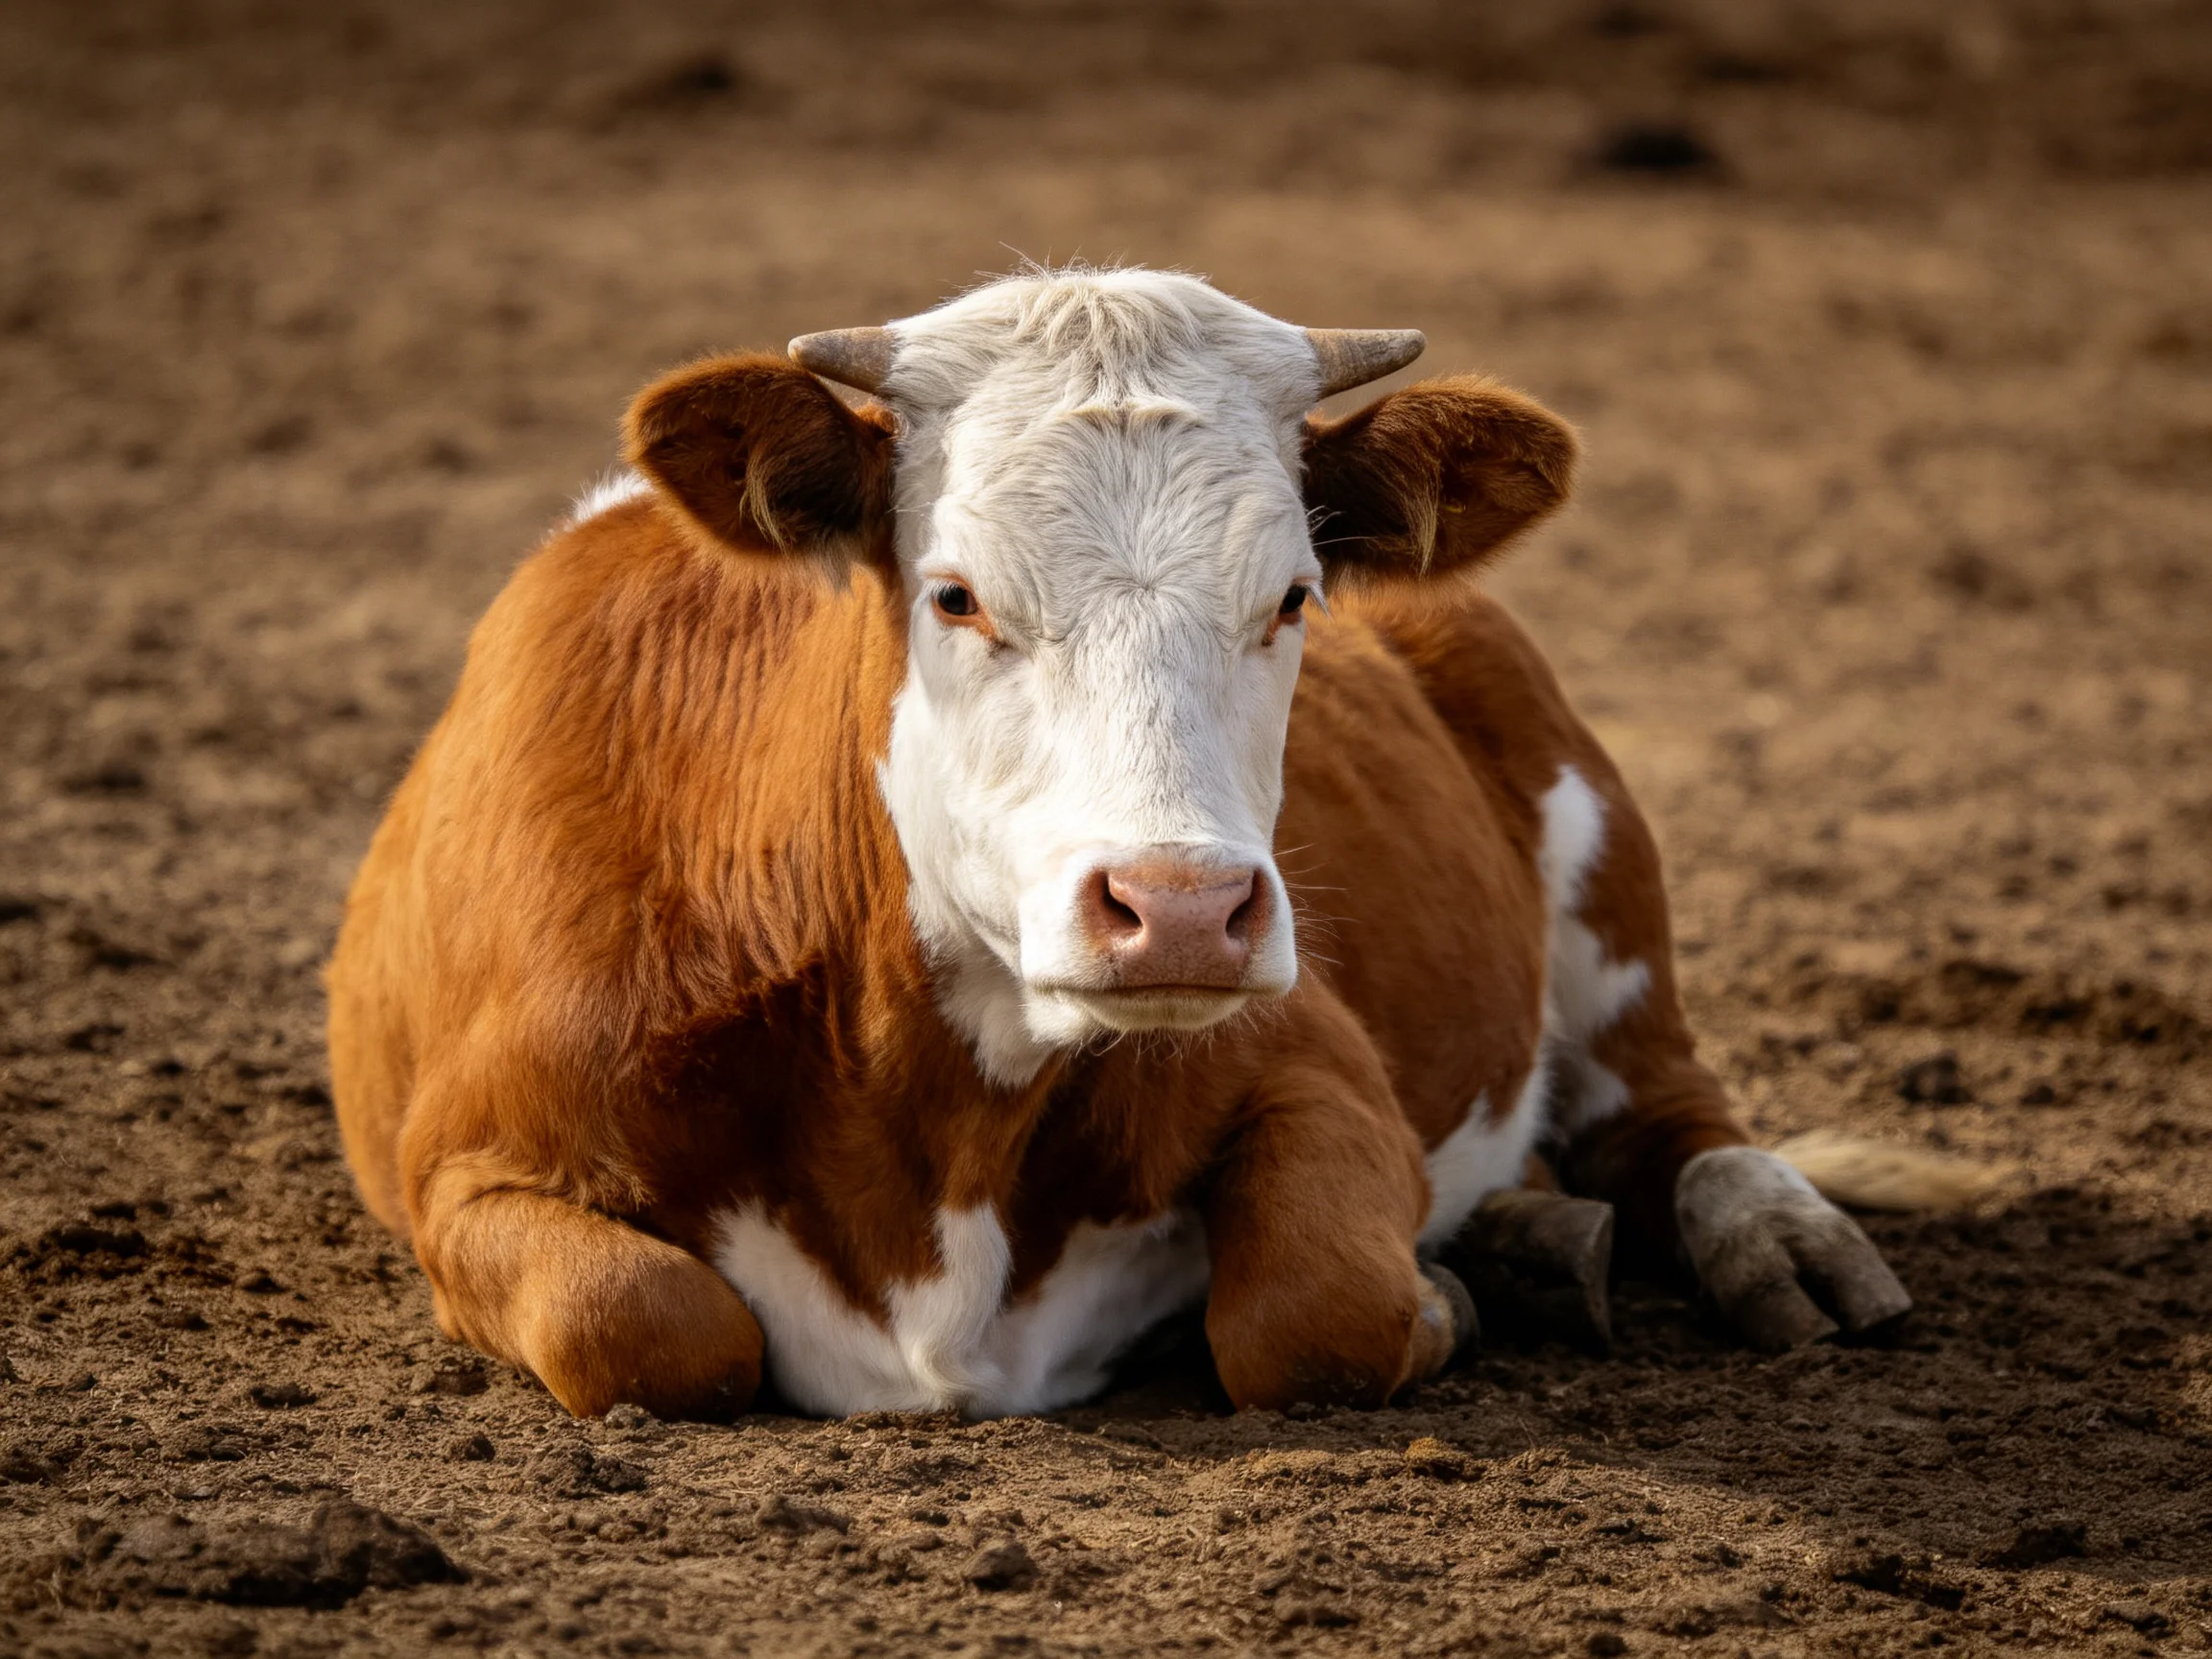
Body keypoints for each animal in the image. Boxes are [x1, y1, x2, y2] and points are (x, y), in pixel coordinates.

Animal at [327, 266, 1943, 1422]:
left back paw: (1757, 1242)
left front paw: (1439, 1296)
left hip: (1596, 855)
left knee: (1669, 1112)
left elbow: (1313, 1308)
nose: (1178, 910)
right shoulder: (468, 1160)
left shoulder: (1315, 1061)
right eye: (957, 594)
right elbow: (643, 1322)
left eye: (1294, 596)